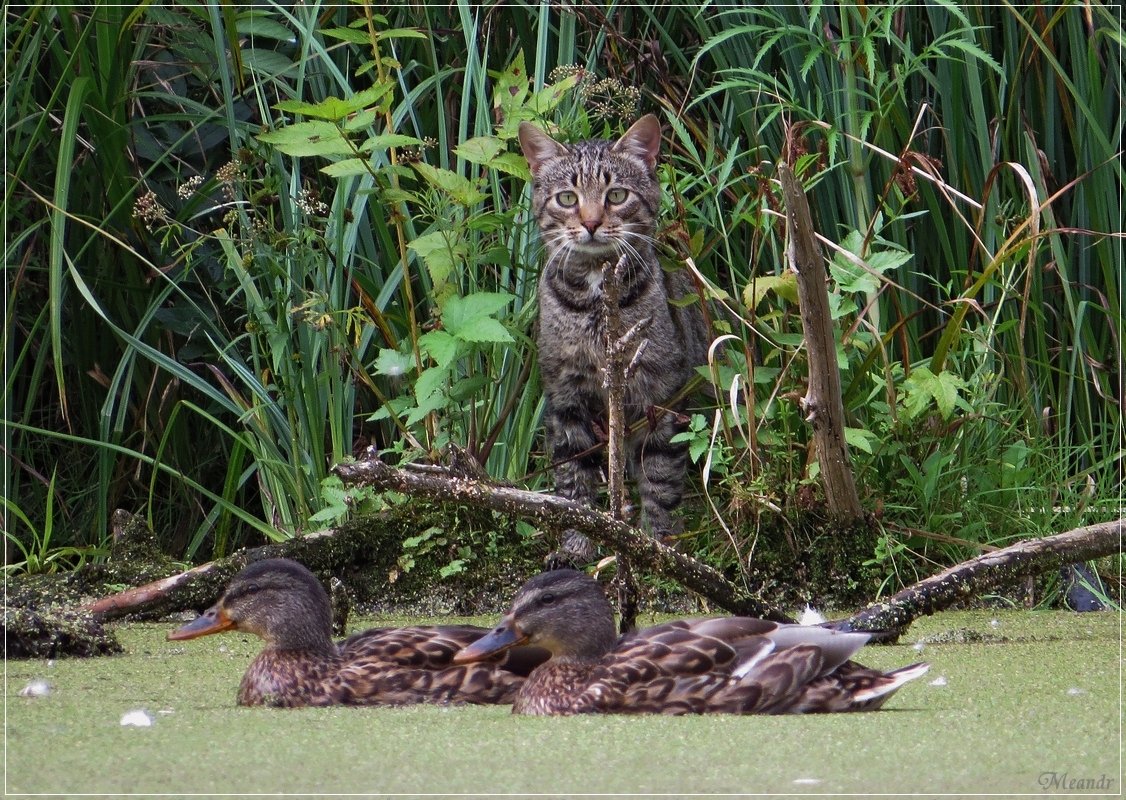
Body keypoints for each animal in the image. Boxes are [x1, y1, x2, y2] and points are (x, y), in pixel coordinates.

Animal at [515, 114, 702, 563]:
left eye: (616, 195)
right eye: (567, 198)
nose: (591, 223)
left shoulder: (660, 390)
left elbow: (661, 475)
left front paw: (658, 546)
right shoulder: (565, 395)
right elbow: (574, 479)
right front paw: (578, 545)